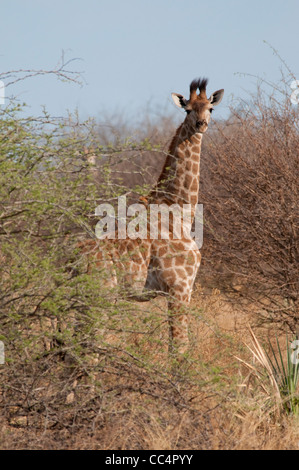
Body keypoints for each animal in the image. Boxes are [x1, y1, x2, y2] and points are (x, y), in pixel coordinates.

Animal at [80, 78, 225, 356]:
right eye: (187, 109)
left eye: (210, 108)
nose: (201, 125)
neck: (179, 213)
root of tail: (71, 262)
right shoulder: (179, 288)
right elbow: (179, 349)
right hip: (101, 298)